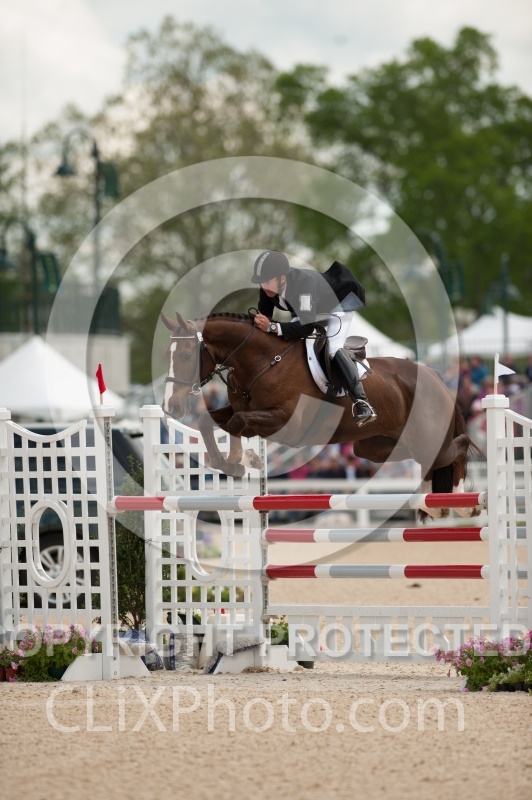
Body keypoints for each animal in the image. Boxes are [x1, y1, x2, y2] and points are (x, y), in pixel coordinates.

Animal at [160, 311, 482, 521]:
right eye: (168, 355)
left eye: (187, 355)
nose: (170, 407)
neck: (261, 361)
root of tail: (434, 375)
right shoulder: (243, 409)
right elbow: (208, 422)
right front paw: (233, 462)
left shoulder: (287, 425)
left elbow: (238, 424)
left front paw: (242, 459)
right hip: (374, 446)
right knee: (425, 458)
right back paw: (432, 503)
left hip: (424, 437)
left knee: (458, 446)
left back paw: (463, 503)